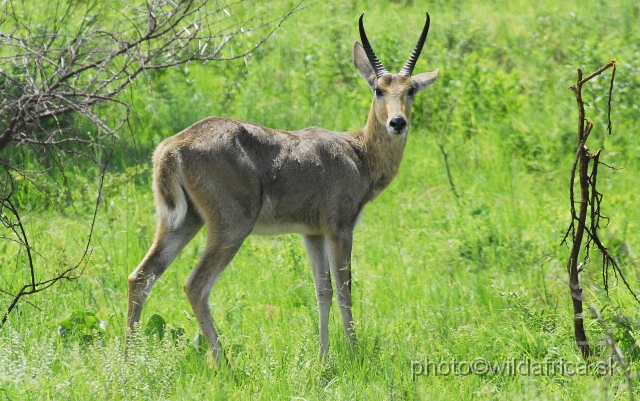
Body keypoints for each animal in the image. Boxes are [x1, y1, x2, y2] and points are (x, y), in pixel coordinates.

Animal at [127, 12, 440, 364]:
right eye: (378, 89)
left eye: (411, 89)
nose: (397, 123)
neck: (358, 153)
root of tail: (174, 145)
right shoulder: (340, 228)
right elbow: (345, 290)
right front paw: (355, 355)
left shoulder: (312, 233)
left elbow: (323, 289)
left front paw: (323, 359)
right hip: (231, 227)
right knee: (195, 285)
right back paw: (225, 365)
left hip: (182, 222)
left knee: (140, 277)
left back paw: (129, 360)